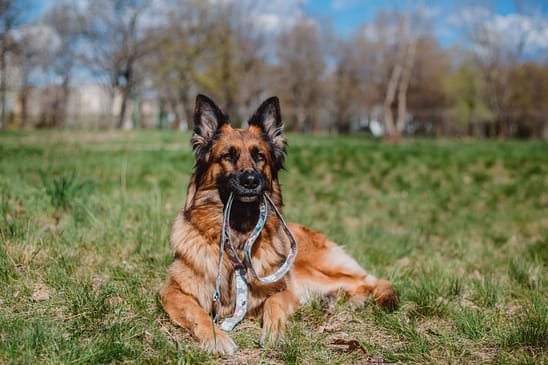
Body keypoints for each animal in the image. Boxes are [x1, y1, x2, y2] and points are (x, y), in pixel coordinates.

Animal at [161, 94, 396, 352]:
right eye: (228, 156)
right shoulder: (172, 292)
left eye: (259, 156)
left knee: (367, 280)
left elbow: (273, 304)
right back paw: (335, 299)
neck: (239, 235)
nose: (251, 180)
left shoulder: (283, 290)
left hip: (315, 269)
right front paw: (216, 338)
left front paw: (273, 334)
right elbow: (196, 312)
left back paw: (355, 300)